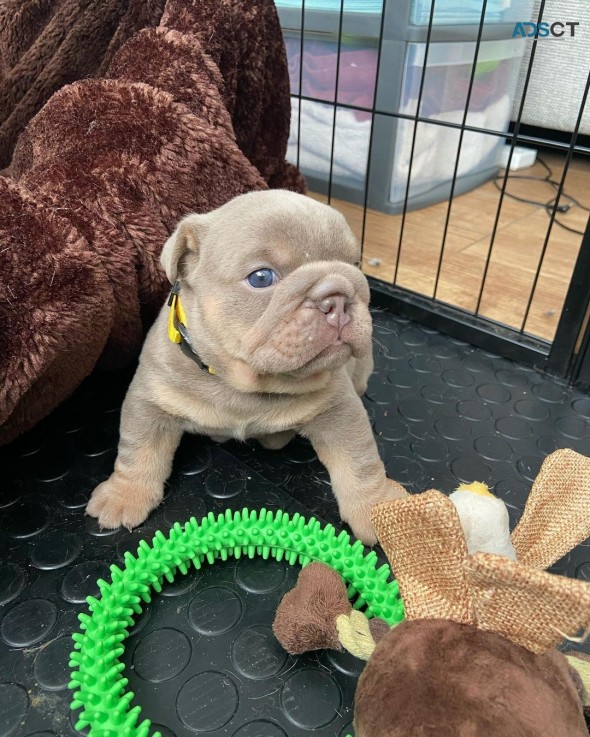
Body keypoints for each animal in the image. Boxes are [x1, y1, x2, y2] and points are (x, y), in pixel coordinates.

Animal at [88, 191, 410, 548]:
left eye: (355, 265)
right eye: (261, 278)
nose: (338, 297)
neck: (243, 380)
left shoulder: (339, 408)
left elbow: (360, 461)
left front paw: (377, 507)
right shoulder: (150, 400)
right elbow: (138, 450)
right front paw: (124, 495)